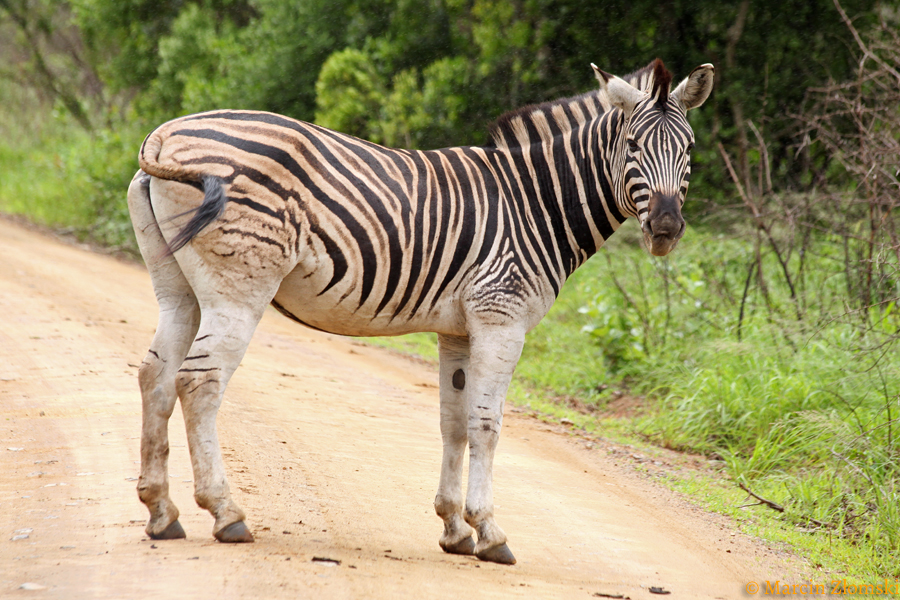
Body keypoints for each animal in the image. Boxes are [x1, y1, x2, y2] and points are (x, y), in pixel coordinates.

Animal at [127, 58, 714, 565]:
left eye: (689, 148)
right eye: (633, 145)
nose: (666, 229)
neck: (534, 205)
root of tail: (168, 132)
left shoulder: (459, 330)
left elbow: (453, 423)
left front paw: (454, 528)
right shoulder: (501, 318)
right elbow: (486, 424)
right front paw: (490, 532)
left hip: (178, 289)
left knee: (156, 374)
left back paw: (162, 512)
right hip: (240, 287)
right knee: (199, 381)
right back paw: (226, 513)